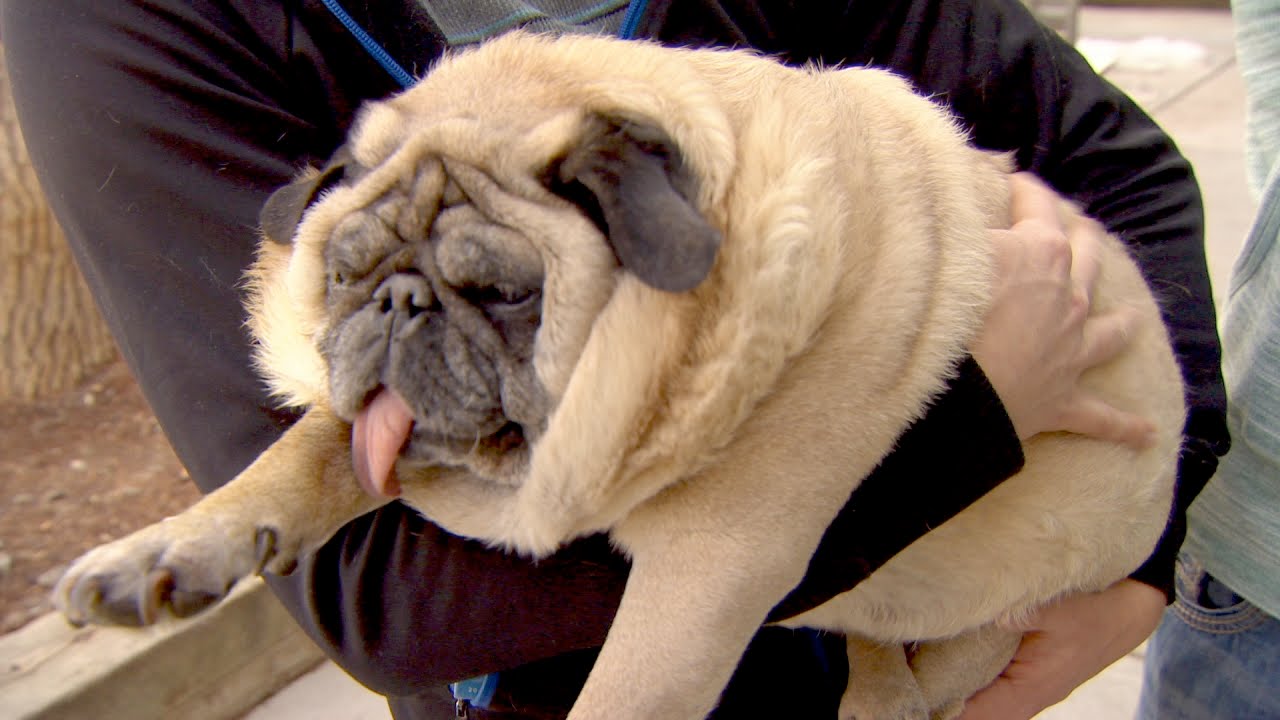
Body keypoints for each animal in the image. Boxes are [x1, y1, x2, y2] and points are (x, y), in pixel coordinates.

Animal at [55, 32, 1182, 717]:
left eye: (505, 293)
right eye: (346, 273)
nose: (399, 305)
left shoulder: (703, 578)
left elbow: (617, 700)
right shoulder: (378, 432)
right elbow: (297, 454)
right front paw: (171, 546)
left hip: (993, 624)